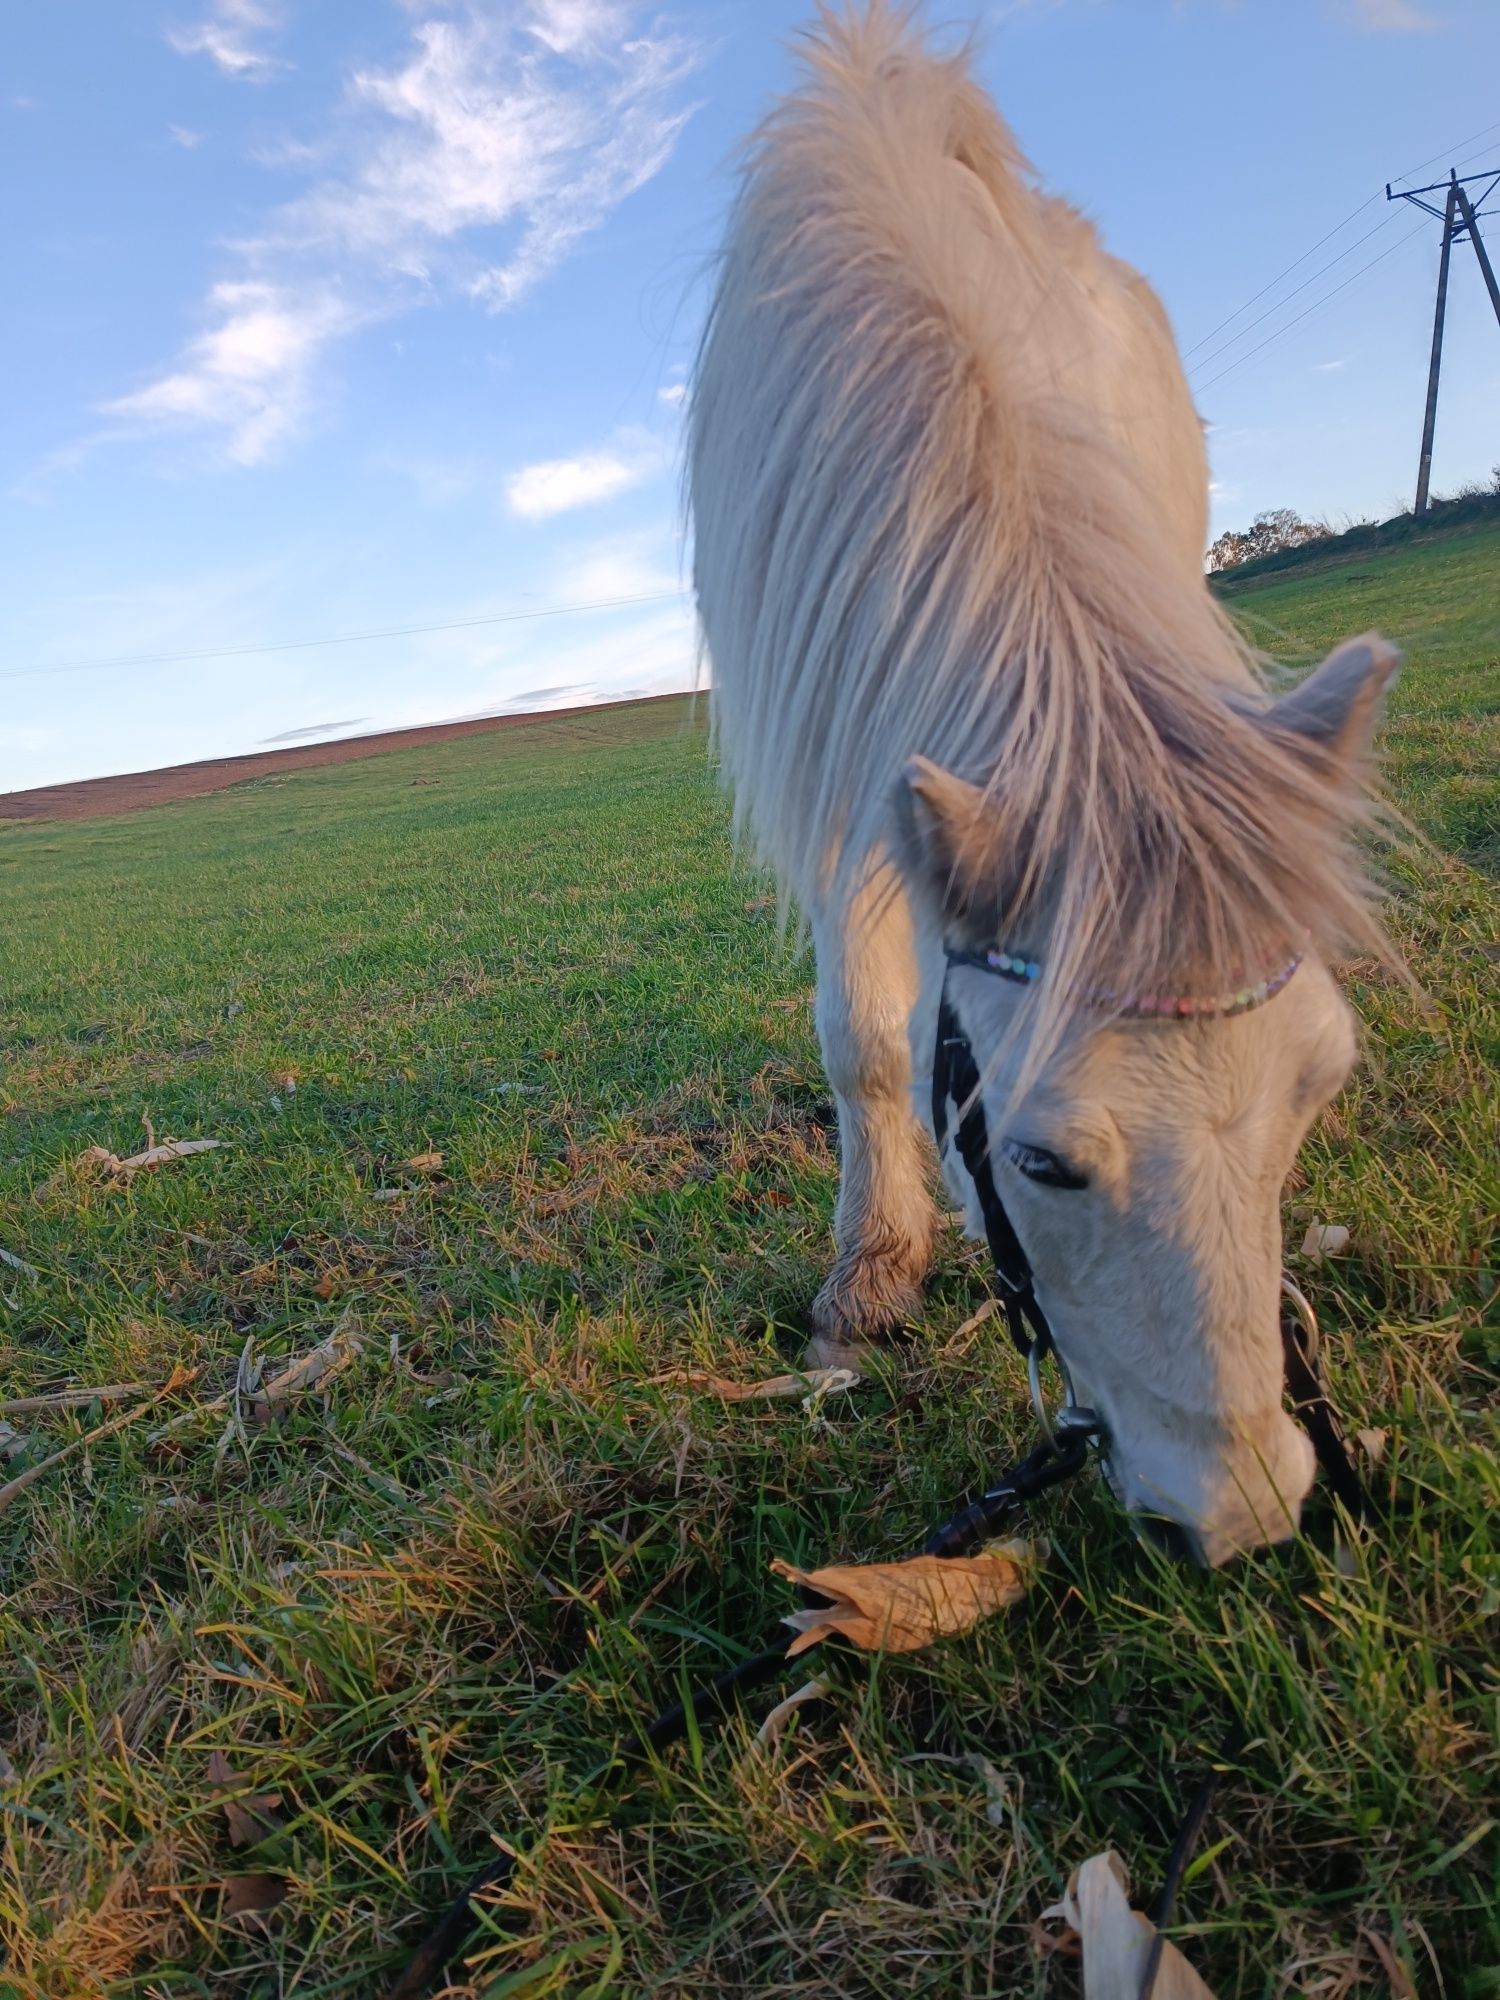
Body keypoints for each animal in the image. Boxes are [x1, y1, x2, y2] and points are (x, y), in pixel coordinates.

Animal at [692, 3, 1400, 1560]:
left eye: (1320, 1087)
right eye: (1039, 1164)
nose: (1246, 1515)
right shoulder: (839, 771)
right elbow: (865, 1036)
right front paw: (866, 1282)